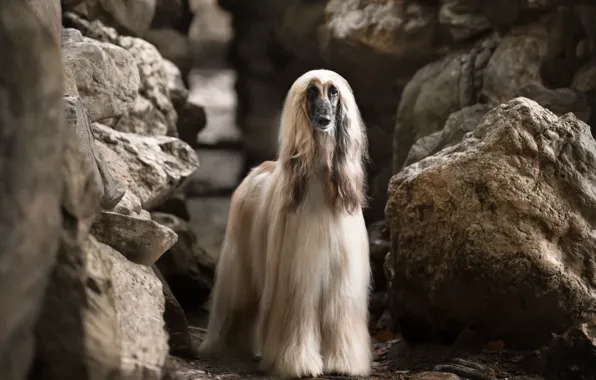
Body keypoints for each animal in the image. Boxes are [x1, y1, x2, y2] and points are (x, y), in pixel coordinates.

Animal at [200, 70, 372, 378]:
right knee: (235, 304)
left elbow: (340, 321)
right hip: (239, 265)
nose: (324, 119)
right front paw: (298, 363)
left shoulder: (342, 285)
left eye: (334, 92)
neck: (319, 181)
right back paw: (227, 347)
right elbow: (296, 320)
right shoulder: (298, 278)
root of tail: (260, 169)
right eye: (312, 92)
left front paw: (343, 363)